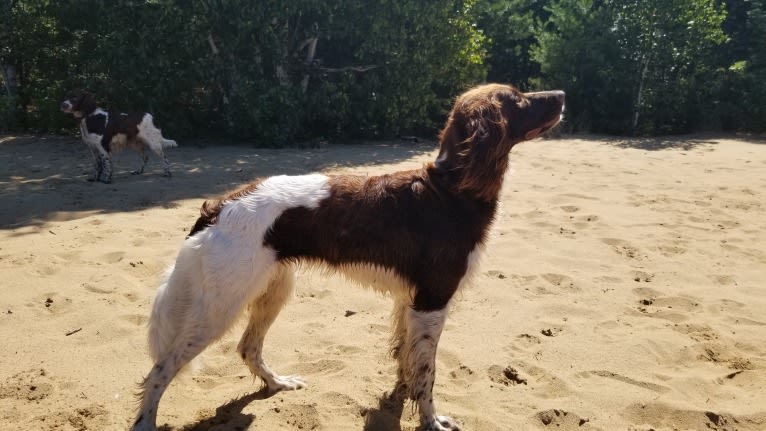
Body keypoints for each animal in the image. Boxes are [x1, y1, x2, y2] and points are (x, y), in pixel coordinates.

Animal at [132, 82, 564, 430]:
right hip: (221, 306)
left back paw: (278, 383)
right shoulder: (432, 301)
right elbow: (427, 375)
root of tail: (219, 206)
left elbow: (407, 364)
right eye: (518, 99)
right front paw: (431, 421)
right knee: (160, 369)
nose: (561, 95)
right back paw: (145, 422)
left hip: (273, 289)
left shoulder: (410, 301)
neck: (451, 190)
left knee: (247, 347)